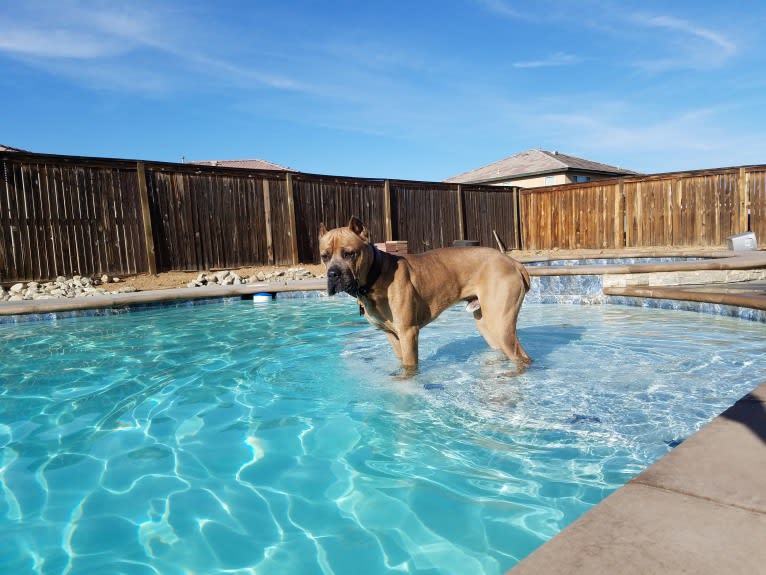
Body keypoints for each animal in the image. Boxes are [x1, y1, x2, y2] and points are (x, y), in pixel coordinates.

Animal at [320, 216, 536, 374]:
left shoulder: (408, 333)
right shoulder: (392, 335)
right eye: (324, 256)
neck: (376, 273)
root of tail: (513, 262)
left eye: (350, 253)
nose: (333, 274)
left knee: (522, 357)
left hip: (501, 325)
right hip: (487, 326)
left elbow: (410, 367)